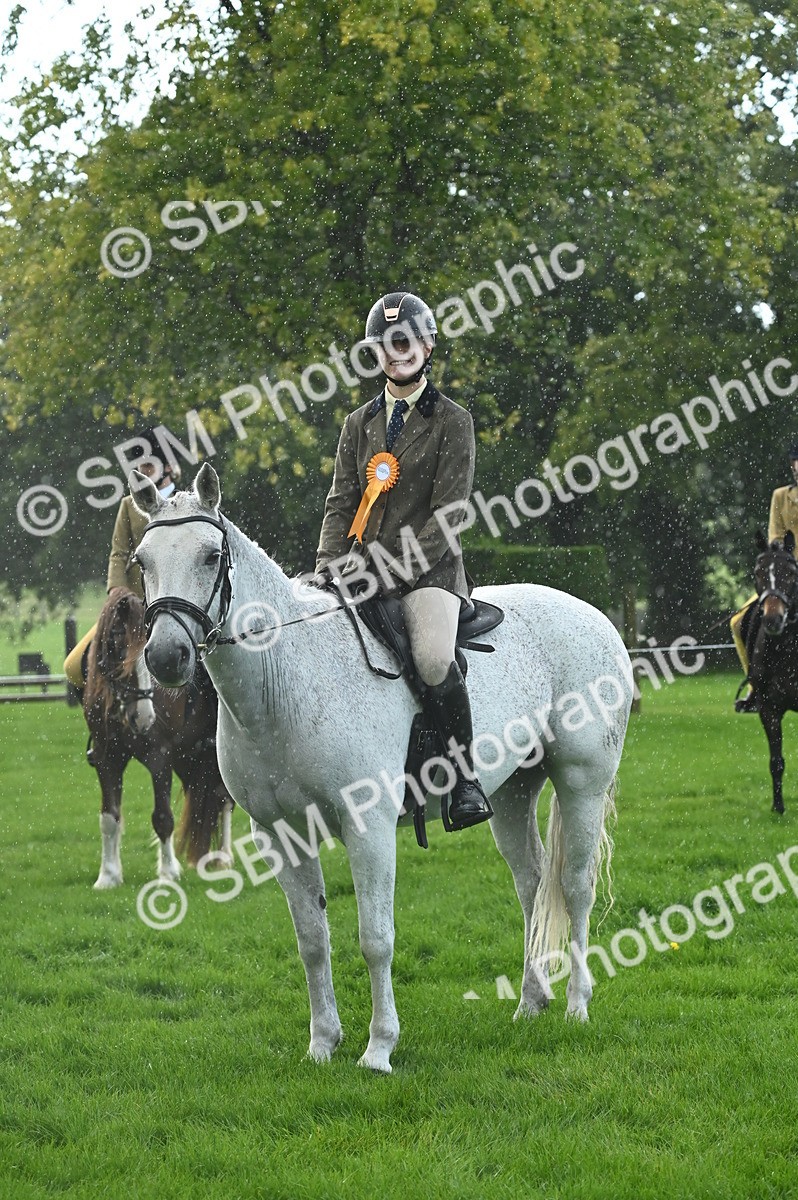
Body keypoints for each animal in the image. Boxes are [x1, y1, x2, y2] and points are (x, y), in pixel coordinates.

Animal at [84, 586, 234, 888]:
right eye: (118, 645)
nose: (143, 718)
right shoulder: (107, 759)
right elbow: (108, 817)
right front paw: (108, 876)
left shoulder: (159, 758)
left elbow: (163, 817)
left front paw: (168, 872)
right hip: (188, 758)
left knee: (223, 797)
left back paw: (224, 858)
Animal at [134, 464, 633, 1073]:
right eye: (142, 560)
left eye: (210, 556)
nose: (166, 658)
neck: (287, 679)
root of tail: (594, 616)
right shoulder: (281, 834)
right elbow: (312, 941)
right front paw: (323, 1043)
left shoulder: (366, 829)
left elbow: (375, 938)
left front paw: (379, 1048)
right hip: (513, 795)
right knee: (532, 884)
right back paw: (530, 1003)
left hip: (583, 783)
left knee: (575, 885)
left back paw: (577, 1005)